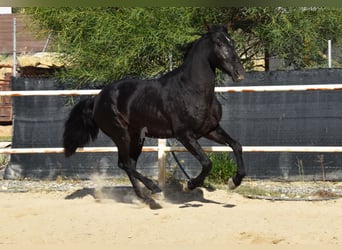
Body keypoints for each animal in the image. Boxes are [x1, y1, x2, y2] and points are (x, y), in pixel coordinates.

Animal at [62, 24, 246, 209]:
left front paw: (234, 181)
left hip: (136, 137)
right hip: (121, 135)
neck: (191, 90)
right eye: (219, 43)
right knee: (124, 164)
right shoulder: (184, 135)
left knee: (130, 164)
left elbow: (237, 145)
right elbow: (207, 163)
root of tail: (97, 99)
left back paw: (146, 198)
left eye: (232, 42)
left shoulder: (211, 129)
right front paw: (190, 185)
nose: (240, 73)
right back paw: (155, 190)